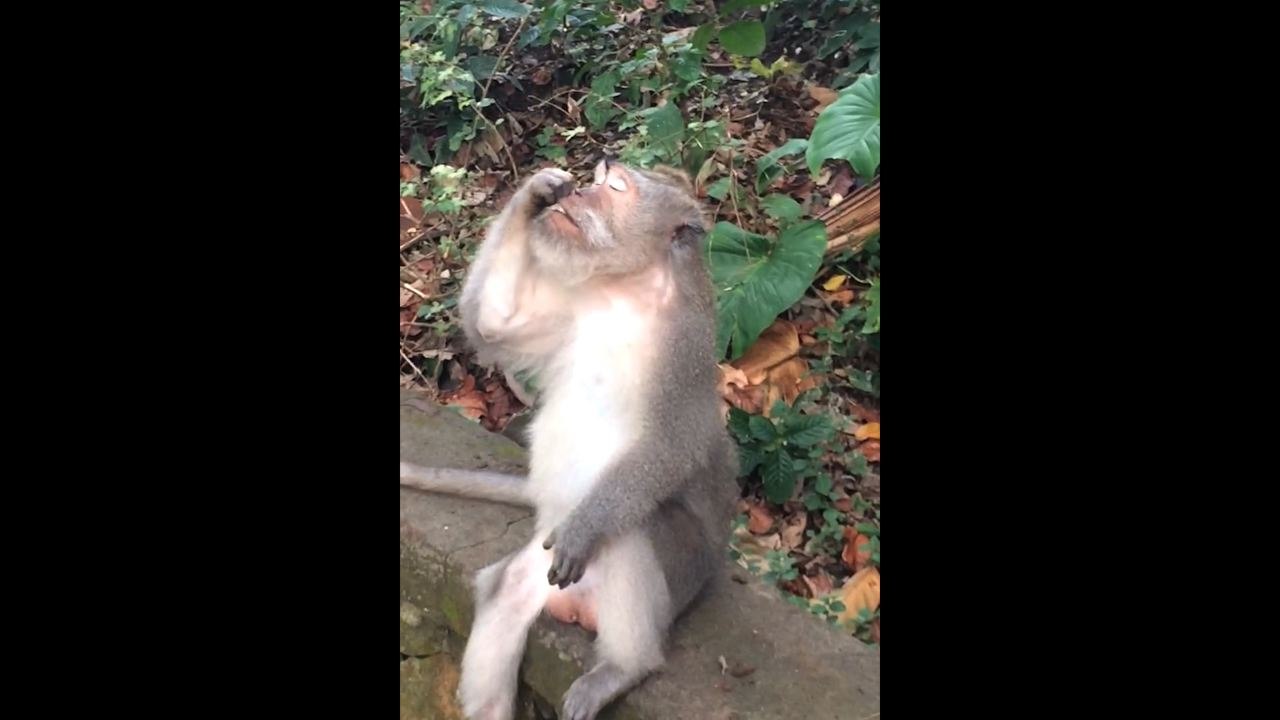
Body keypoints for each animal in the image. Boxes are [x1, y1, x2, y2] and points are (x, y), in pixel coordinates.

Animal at [399, 159, 738, 720]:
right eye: (596, 180)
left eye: (615, 188)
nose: (578, 194)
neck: (628, 290)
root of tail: (580, 609)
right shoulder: (569, 306)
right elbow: (494, 325)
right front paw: (537, 192)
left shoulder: (686, 348)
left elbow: (671, 446)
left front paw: (587, 529)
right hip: (541, 565)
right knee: (504, 591)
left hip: (677, 574)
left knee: (634, 527)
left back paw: (624, 668)